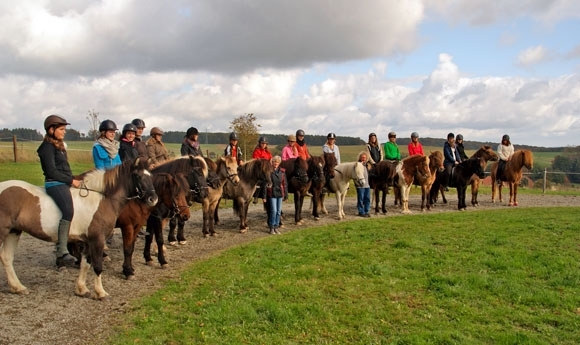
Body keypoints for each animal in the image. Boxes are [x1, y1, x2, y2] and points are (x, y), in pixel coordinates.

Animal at [0, 159, 157, 298]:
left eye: (151, 175)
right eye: (137, 176)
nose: (153, 199)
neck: (102, 199)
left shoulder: (88, 241)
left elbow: (85, 264)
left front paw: (82, 289)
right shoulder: (97, 240)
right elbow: (97, 266)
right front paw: (100, 292)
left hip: (14, 232)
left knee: (6, 257)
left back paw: (18, 287)